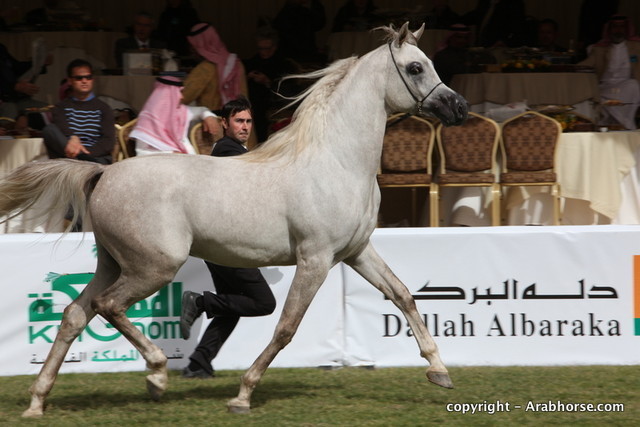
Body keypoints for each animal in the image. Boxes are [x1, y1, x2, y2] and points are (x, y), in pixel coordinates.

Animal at [0, 23, 467, 417]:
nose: (459, 107)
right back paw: (156, 375)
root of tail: (103, 174)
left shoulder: (356, 252)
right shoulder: (315, 259)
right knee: (107, 306)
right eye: (415, 67)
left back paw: (38, 402)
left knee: (75, 314)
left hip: (113, 264)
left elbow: (403, 295)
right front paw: (242, 395)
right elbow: (286, 327)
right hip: (152, 267)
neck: (336, 162)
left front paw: (439, 372)